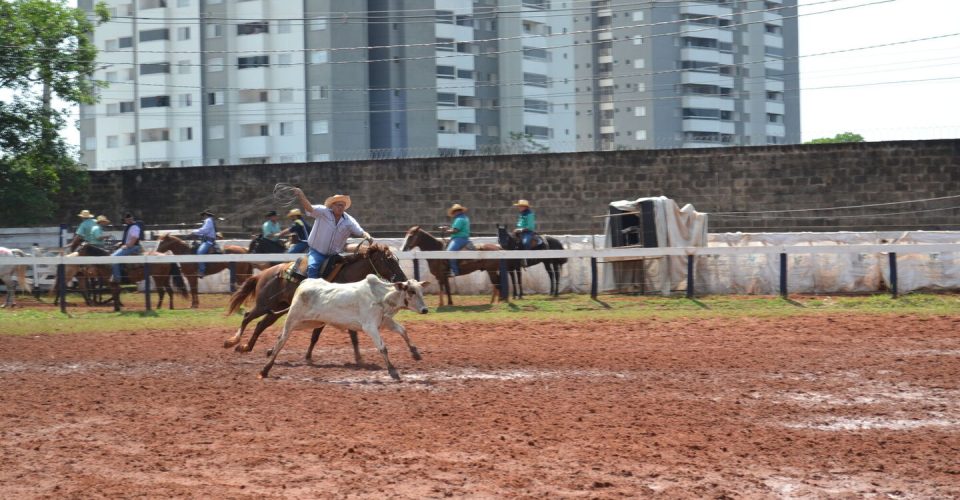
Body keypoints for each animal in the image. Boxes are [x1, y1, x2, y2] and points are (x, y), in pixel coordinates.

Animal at [227, 243, 418, 366]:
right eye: (388, 260)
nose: (403, 279)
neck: (346, 277)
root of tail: (263, 273)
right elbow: (338, 334)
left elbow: (321, 336)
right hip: (264, 304)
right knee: (247, 317)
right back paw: (232, 341)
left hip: (277, 309)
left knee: (260, 324)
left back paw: (246, 347)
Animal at [260, 274, 430, 378]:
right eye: (411, 291)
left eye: (421, 291)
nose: (425, 310)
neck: (381, 297)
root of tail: (305, 282)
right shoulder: (370, 327)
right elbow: (383, 348)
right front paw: (393, 370)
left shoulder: (385, 321)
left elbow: (403, 331)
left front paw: (415, 353)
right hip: (293, 319)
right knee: (282, 339)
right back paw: (265, 370)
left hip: (311, 322)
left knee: (280, 337)